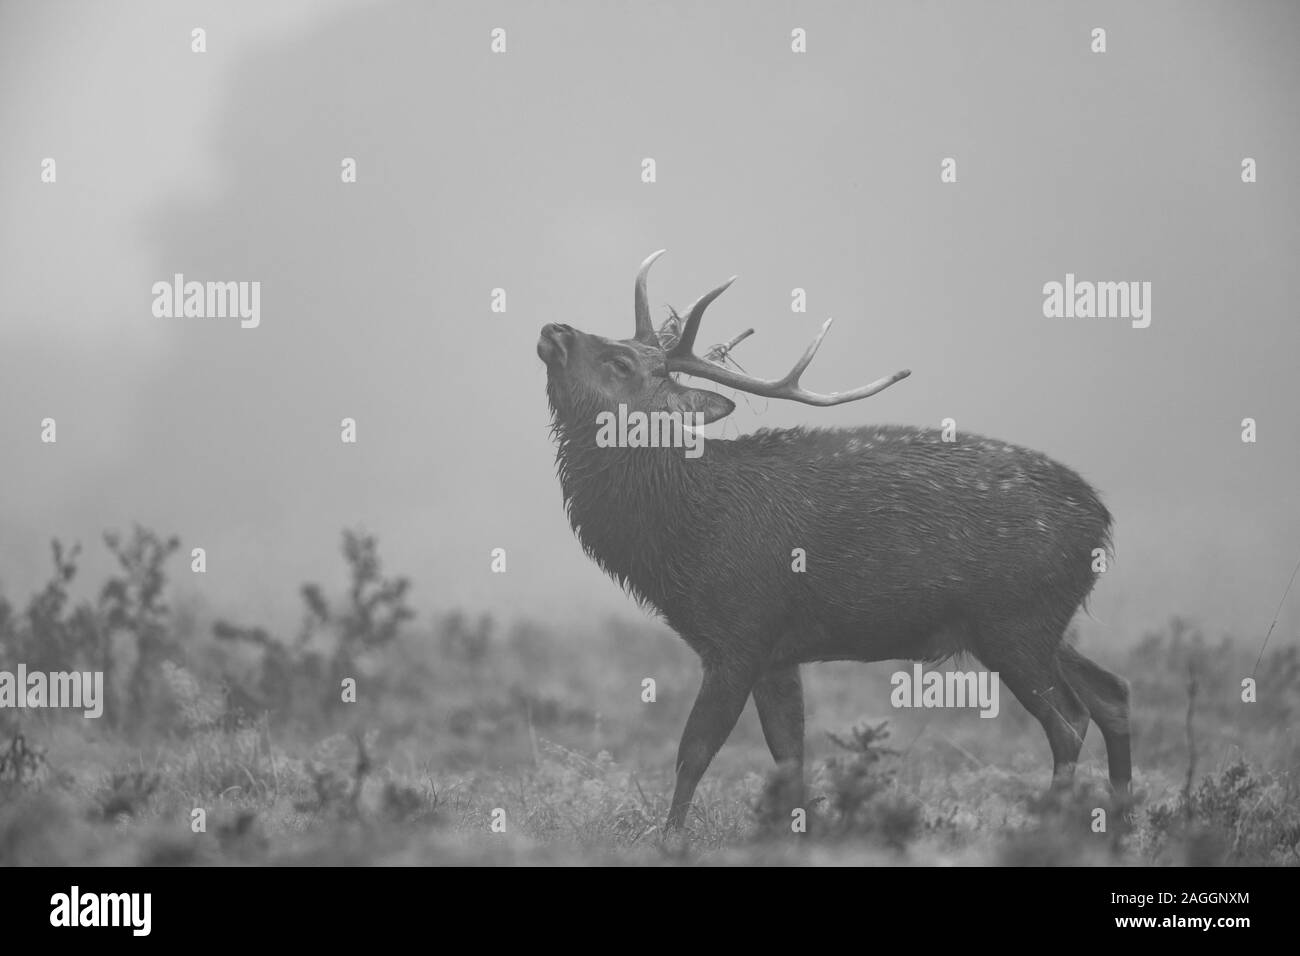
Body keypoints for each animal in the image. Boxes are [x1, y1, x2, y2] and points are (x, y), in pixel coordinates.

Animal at [537, 250, 1132, 831]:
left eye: (622, 363)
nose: (554, 328)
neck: (680, 532)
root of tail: (1101, 519)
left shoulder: (740, 634)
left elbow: (694, 752)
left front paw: (671, 841)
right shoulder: (776, 652)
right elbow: (788, 756)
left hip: (1016, 622)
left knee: (1070, 720)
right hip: (1045, 622)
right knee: (1113, 693)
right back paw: (1124, 819)